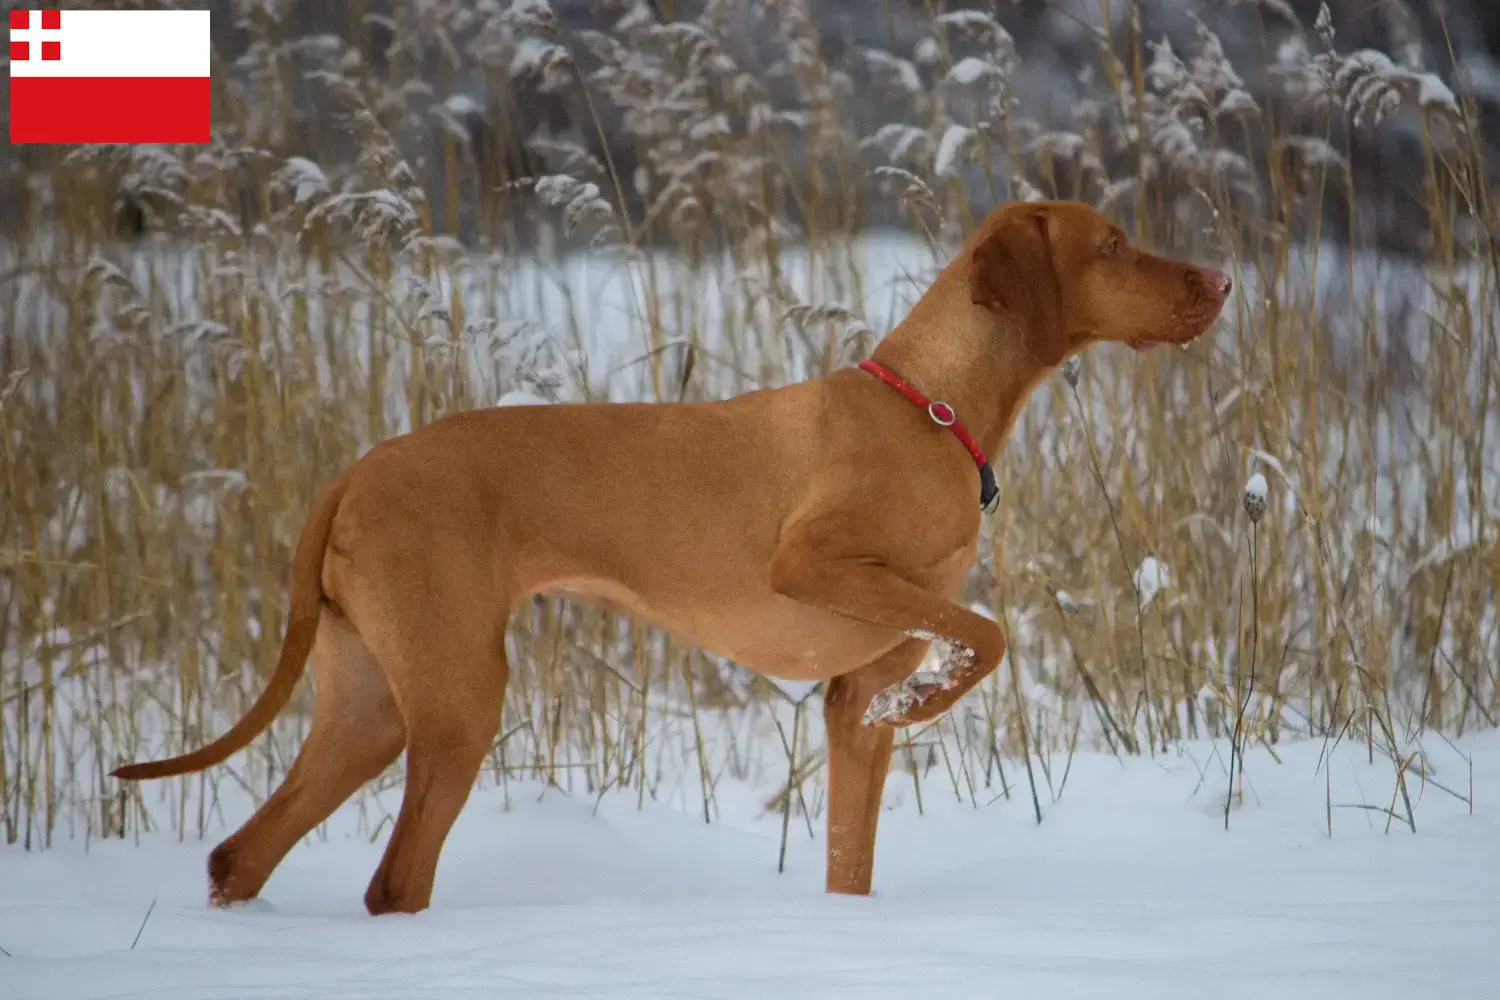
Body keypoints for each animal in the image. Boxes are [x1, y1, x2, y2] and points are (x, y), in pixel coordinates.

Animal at [108, 200, 1230, 917]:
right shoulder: (811, 566)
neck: (932, 409)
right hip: (458, 698)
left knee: (240, 853)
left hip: (370, 708)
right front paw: (931, 699)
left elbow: (851, 855)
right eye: (1114, 243)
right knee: (393, 882)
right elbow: (986, 634)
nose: (1222, 278)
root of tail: (354, 471)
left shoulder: (846, 699)